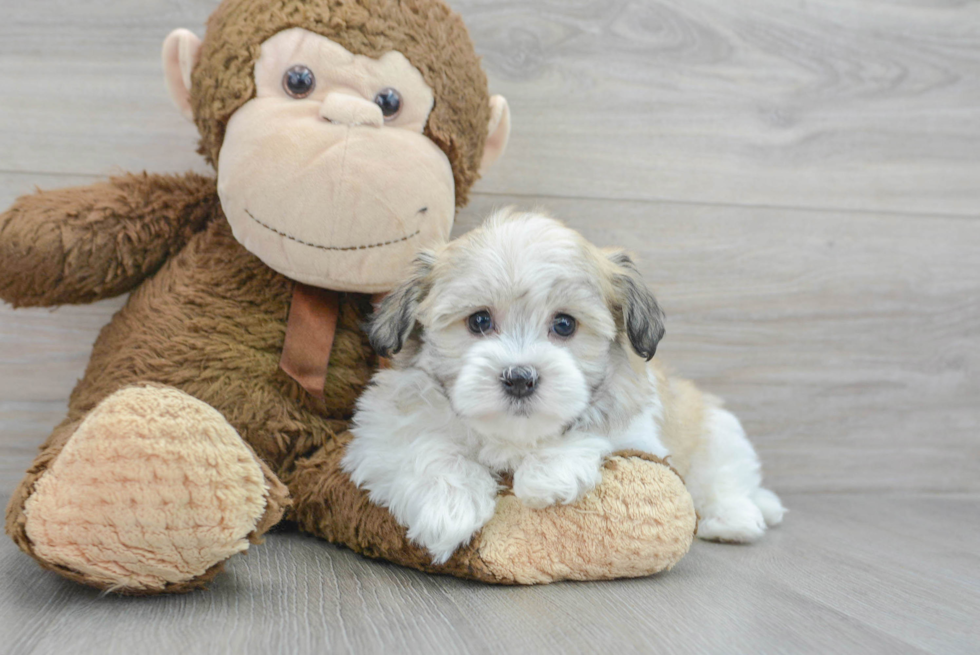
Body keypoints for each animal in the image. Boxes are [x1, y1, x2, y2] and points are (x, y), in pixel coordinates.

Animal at [340, 210, 784, 564]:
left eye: (565, 324)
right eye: (479, 321)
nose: (520, 377)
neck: (512, 434)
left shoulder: (641, 435)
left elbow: (597, 431)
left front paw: (548, 473)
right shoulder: (379, 433)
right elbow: (425, 447)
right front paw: (448, 508)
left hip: (717, 430)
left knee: (724, 477)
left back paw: (735, 518)